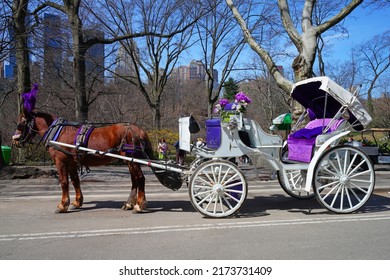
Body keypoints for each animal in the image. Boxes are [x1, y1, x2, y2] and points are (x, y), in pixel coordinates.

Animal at [13, 108, 155, 213]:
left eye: (21, 122)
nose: (15, 140)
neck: (59, 132)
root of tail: (138, 130)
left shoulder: (60, 162)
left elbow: (64, 182)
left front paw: (62, 205)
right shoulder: (71, 163)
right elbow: (75, 181)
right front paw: (77, 202)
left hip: (132, 160)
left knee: (140, 178)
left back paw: (139, 204)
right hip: (130, 161)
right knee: (134, 180)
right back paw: (130, 204)